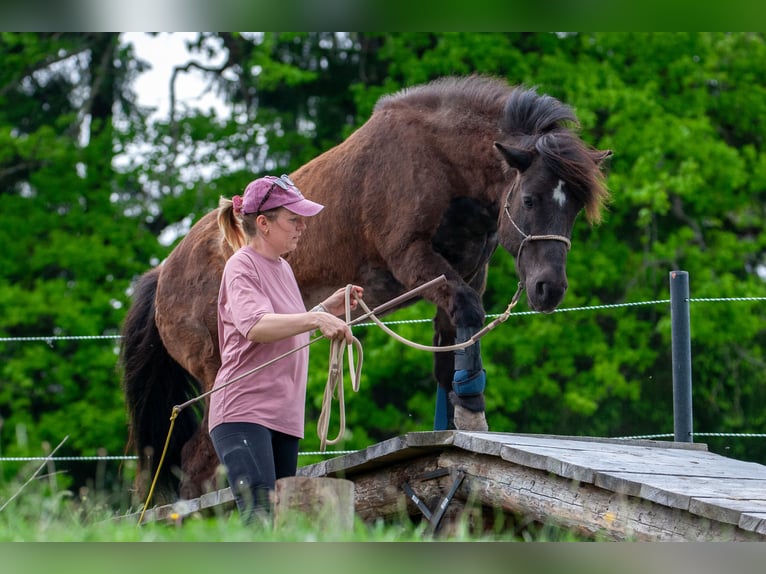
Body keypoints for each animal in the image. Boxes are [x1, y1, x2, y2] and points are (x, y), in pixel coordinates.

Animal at [120, 75, 611, 504]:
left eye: (575, 209)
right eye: (529, 199)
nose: (549, 289)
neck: (438, 161)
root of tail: (162, 275)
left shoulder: (464, 272)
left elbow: (451, 345)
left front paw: (461, 412)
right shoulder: (415, 261)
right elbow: (470, 312)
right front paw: (473, 400)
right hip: (218, 374)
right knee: (198, 460)